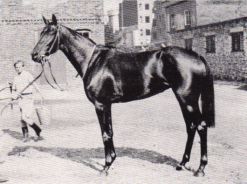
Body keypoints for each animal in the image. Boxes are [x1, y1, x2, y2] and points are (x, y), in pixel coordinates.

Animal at [31, 14, 215, 177]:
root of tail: (197, 56)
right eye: (41, 32)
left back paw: (200, 169)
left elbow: (105, 133)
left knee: (200, 126)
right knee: (191, 127)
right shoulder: (107, 104)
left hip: (188, 99)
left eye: (51, 33)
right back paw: (182, 164)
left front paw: (105, 167)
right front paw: (111, 160)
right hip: (184, 100)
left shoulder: (100, 104)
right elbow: (110, 132)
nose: (34, 55)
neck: (92, 60)